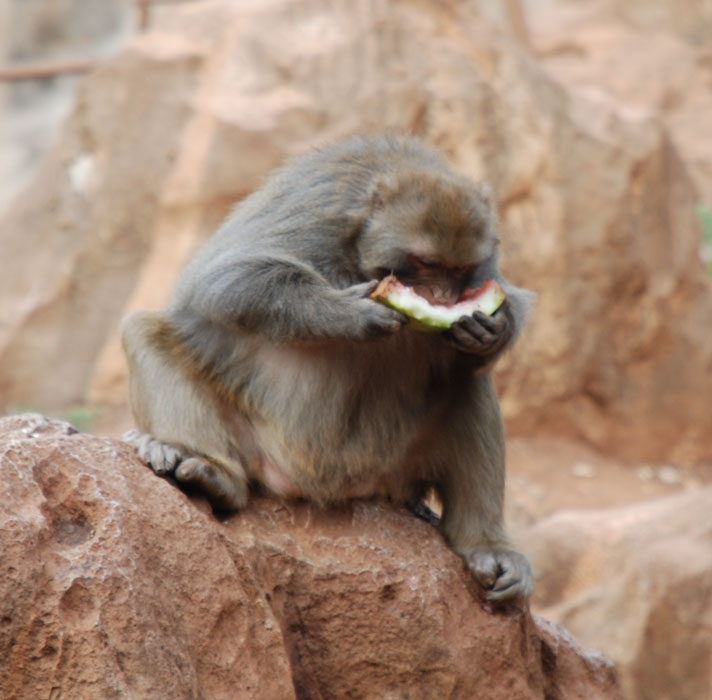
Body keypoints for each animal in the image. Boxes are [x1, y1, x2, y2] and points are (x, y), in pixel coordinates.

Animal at [122, 135, 536, 600]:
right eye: (427, 264)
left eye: (460, 270)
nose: (444, 298)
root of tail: (327, 489)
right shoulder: (319, 210)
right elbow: (223, 278)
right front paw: (346, 314)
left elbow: (505, 300)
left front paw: (494, 329)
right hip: (261, 449)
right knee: (147, 331)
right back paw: (215, 476)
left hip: (396, 466)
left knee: (468, 381)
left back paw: (485, 545)